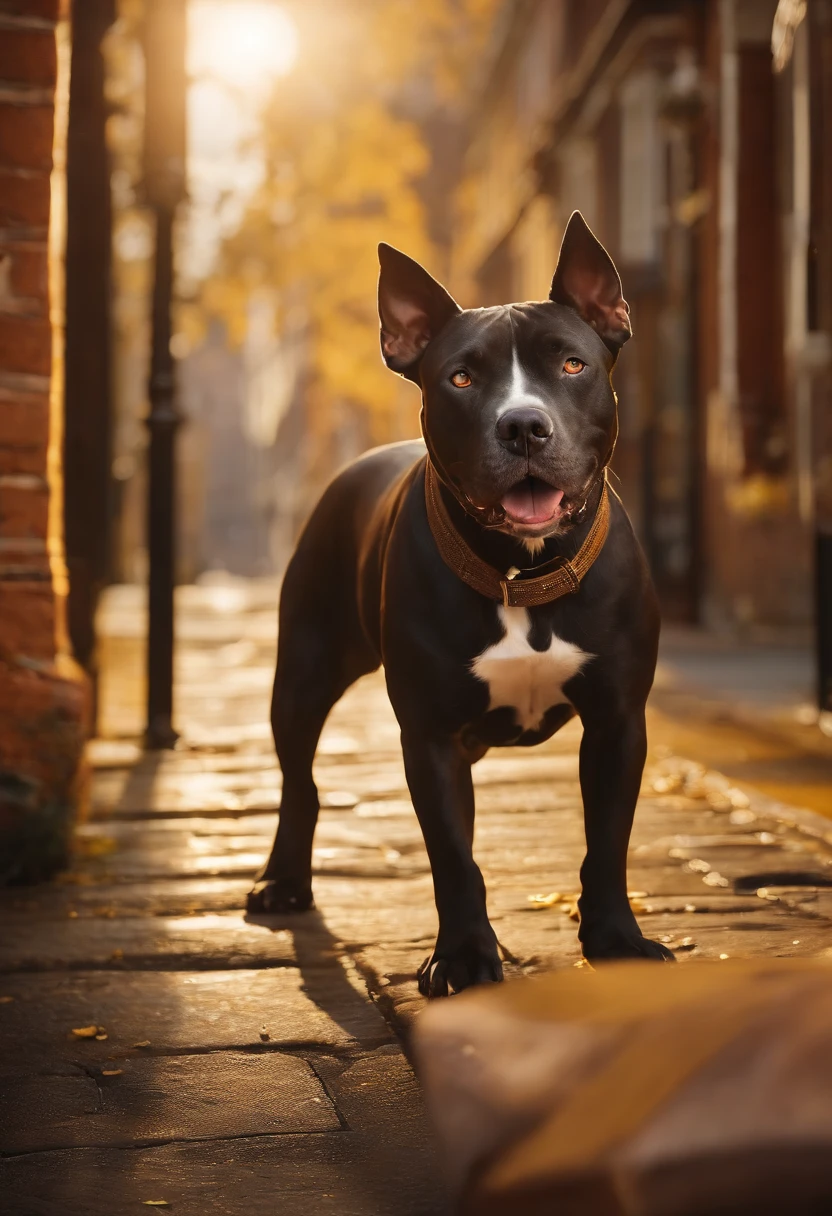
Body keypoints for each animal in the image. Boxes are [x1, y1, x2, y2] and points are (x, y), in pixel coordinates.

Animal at [248, 211, 676, 987]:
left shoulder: (618, 723)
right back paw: (284, 880)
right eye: (461, 377)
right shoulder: (431, 737)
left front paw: (616, 940)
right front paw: (465, 957)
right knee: (300, 781)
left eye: (572, 365)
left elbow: (607, 840)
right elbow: (452, 857)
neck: (521, 573)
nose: (523, 424)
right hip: (303, 673)